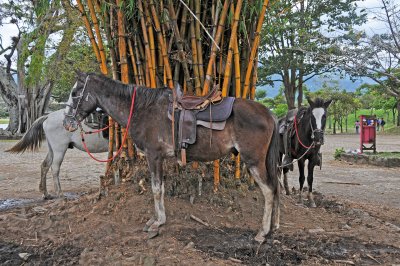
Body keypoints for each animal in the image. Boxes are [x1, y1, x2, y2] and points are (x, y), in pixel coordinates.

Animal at [63, 71, 282, 242]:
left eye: (74, 93)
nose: (67, 122)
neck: (142, 109)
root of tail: (269, 114)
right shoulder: (158, 158)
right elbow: (159, 188)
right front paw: (156, 219)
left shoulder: (153, 156)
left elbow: (156, 189)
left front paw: (157, 223)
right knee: (275, 188)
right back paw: (273, 228)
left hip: (254, 161)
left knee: (269, 191)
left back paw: (262, 233)